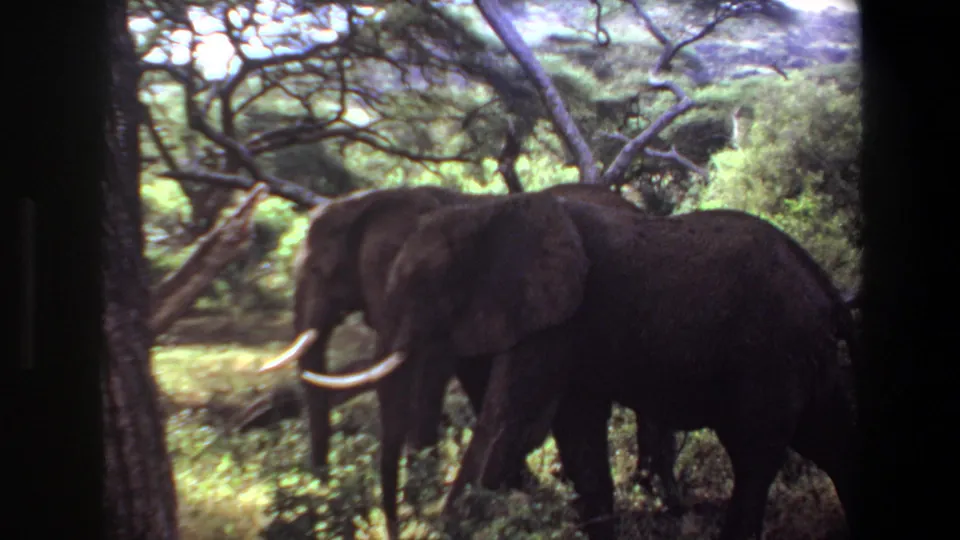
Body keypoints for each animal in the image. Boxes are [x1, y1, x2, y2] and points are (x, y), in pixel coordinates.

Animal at [297, 191, 862, 540]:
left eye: (422, 284)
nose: (391, 526)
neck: (490, 210)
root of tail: (827, 290)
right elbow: (577, 439)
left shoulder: (556, 319)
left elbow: (511, 427)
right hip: (803, 356)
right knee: (834, 441)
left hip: (772, 351)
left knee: (754, 459)